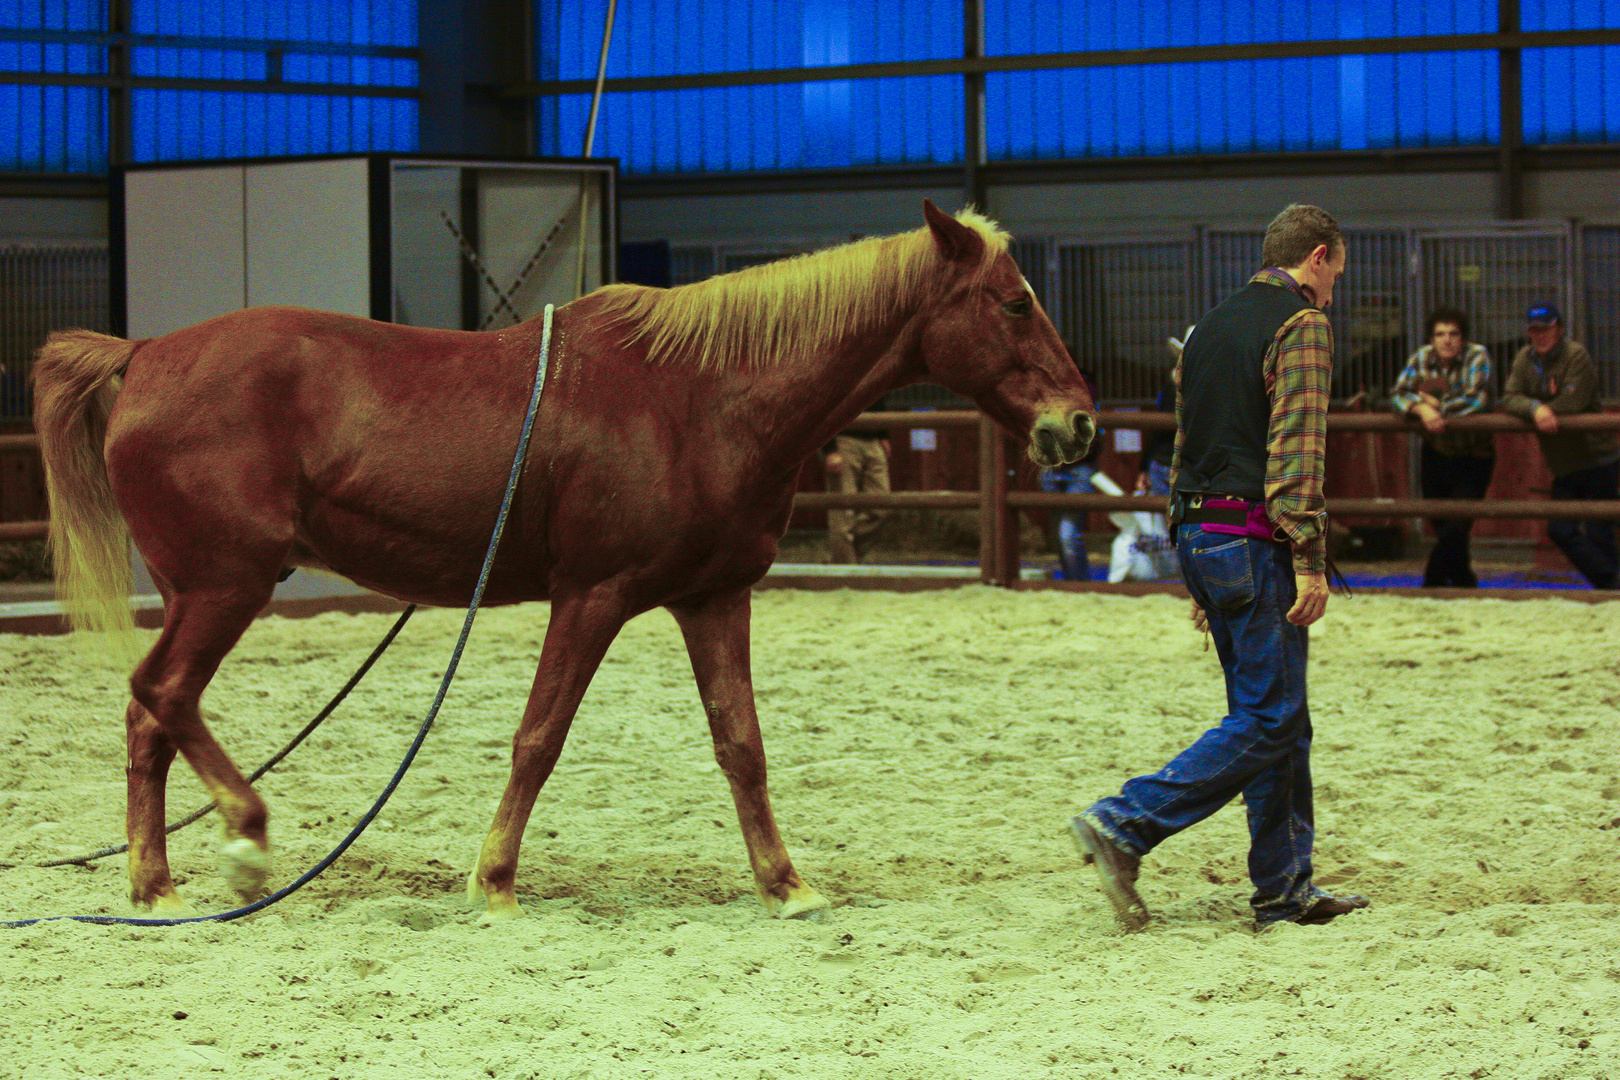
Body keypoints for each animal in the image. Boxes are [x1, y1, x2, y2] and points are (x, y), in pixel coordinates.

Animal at [38, 200, 1095, 919]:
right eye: (1012, 304)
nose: (1078, 424)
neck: (703, 396)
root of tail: (145, 352)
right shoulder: (591, 598)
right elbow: (539, 737)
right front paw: (494, 880)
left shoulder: (715, 599)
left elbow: (741, 746)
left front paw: (786, 884)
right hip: (227, 585)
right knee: (162, 694)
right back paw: (247, 841)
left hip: (207, 592)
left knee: (147, 719)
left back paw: (154, 884)